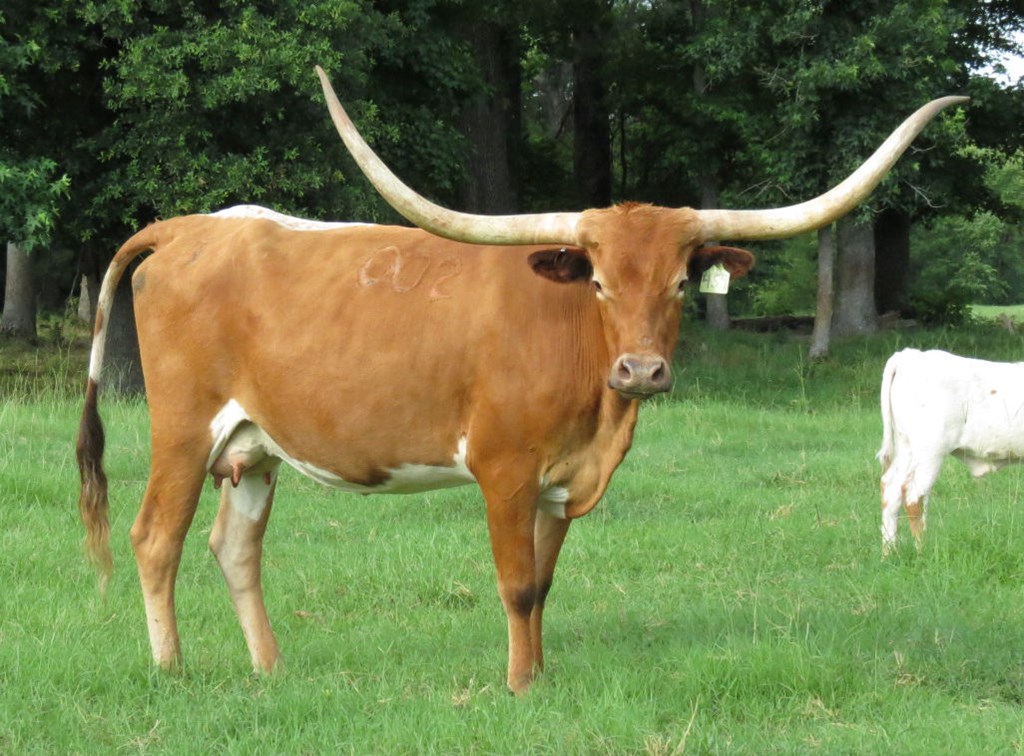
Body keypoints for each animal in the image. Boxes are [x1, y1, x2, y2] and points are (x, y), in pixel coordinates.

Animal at [76, 65, 965, 692]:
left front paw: (538, 676)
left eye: (682, 283)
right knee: (155, 538)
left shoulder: (560, 482)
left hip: (253, 445)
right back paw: (171, 670)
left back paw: (270, 669)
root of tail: (187, 228)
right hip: (182, 427)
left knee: (234, 546)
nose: (642, 369)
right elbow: (511, 584)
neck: (595, 402)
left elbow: (542, 583)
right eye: (598, 281)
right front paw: (514, 687)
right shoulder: (503, 469)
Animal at [879, 348, 1024, 554]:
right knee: (913, 495)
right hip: (929, 452)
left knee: (891, 491)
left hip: (907, 448)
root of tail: (911, 355)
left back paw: (890, 553)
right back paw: (921, 552)